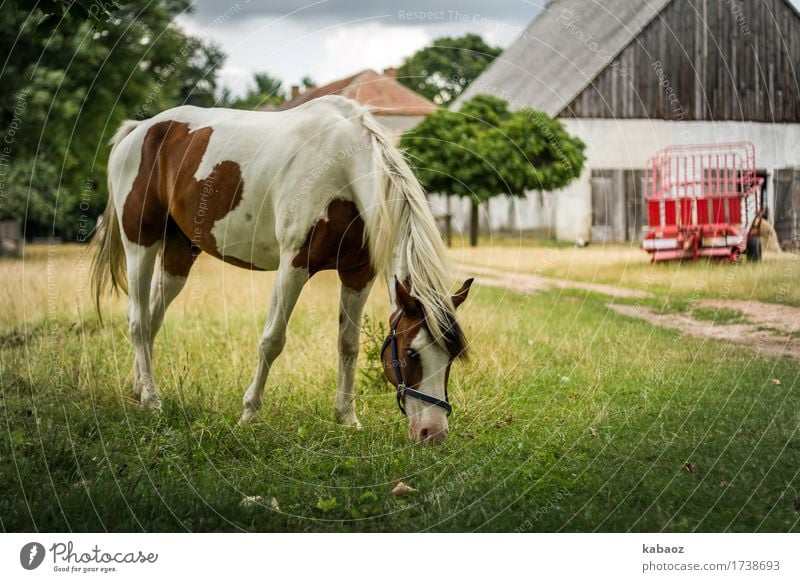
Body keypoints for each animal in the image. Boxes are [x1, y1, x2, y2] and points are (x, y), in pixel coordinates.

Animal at [91, 96, 472, 444]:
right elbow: (272, 340)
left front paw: (346, 417)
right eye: (410, 352)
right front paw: (249, 413)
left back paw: (139, 390)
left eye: (451, 356)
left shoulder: (358, 274)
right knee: (139, 321)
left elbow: (348, 344)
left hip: (179, 251)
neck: (342, 167)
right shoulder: (293, 265)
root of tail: (138, 130)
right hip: (141, 242)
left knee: (153, 319)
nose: (433, 433)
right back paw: (152, 400)